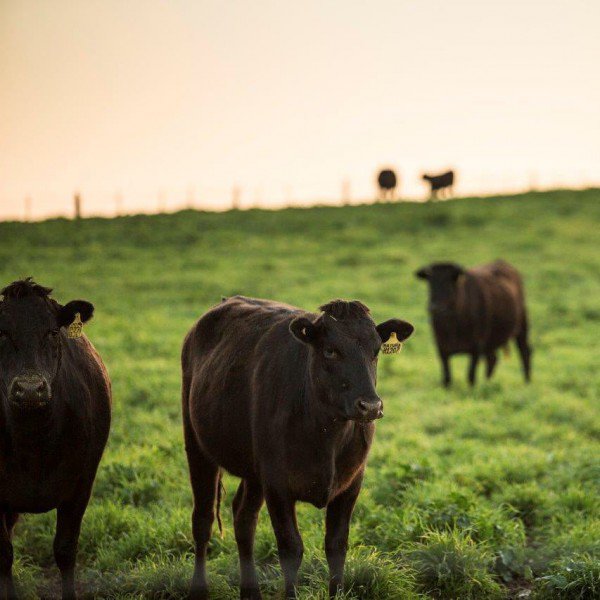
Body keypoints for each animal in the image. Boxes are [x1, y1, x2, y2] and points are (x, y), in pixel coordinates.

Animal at [0, 278, 111, 596]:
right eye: (2, 332)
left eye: (52, 331)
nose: (29, 389)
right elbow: (4, 554)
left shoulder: (82, 483)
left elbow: (65, 550)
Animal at [183, 296, 414, 600]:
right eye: (330, 351)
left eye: (376, 351)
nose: (371, 406)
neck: (326, 436)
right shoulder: (278, 486)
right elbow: (291, 549)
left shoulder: (351, 483)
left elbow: (336, 545)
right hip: (196, 443)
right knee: (203, 519)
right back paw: (198, 590)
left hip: (255, 469)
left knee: (244, 517)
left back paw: (250, 592)